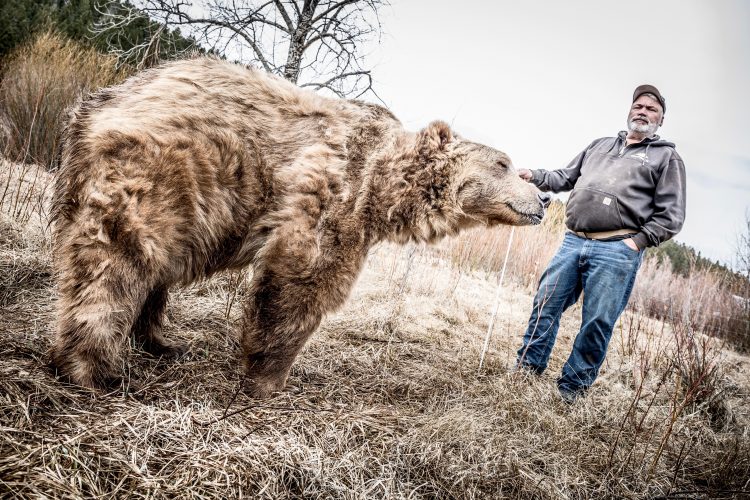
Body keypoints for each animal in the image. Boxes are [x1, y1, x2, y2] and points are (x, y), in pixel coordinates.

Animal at [51, 55, 548, 398]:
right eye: (504, 163)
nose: (543, 199)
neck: (384, 187)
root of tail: (101, 102)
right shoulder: (336, 195)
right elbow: (301, 281)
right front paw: (269, 379)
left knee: (155, 265)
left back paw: (161, 340)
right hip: (163, 168)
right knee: (119, 260)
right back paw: (92, 370)